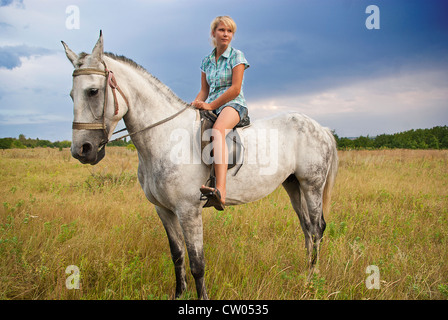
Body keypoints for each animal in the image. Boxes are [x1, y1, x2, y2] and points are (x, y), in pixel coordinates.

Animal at [62, 31, 336, 298]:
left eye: (93, 91)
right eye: (71, 95)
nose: (82, 150)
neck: (166, 137)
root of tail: (320, 127)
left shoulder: (188, 210)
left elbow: (197, 263)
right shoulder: (164, 210)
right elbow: (177, 256)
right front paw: (178, 295)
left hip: (311, 185)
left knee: (316, 229)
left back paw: (312, 280)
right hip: (292, 184)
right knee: (306, 228)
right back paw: (305, 273)